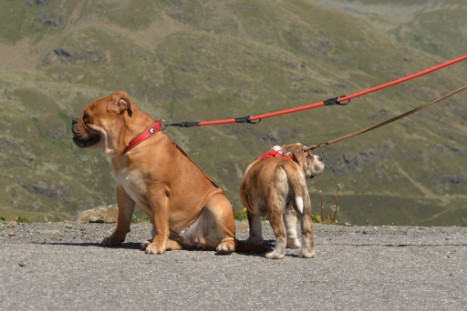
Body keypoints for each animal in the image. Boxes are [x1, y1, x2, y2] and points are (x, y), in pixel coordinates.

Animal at [72, 91, 238, 256]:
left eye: (87, 116)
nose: (73, 120)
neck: (132, 144)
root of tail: (195, 238)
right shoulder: (123, 191)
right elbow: (122, 220)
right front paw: (115, 239)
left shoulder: (157, 192)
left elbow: (160, 222)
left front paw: (157, 246)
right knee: (183, 243)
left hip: (218, 204)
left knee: (228, 237)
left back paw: (225, 245)